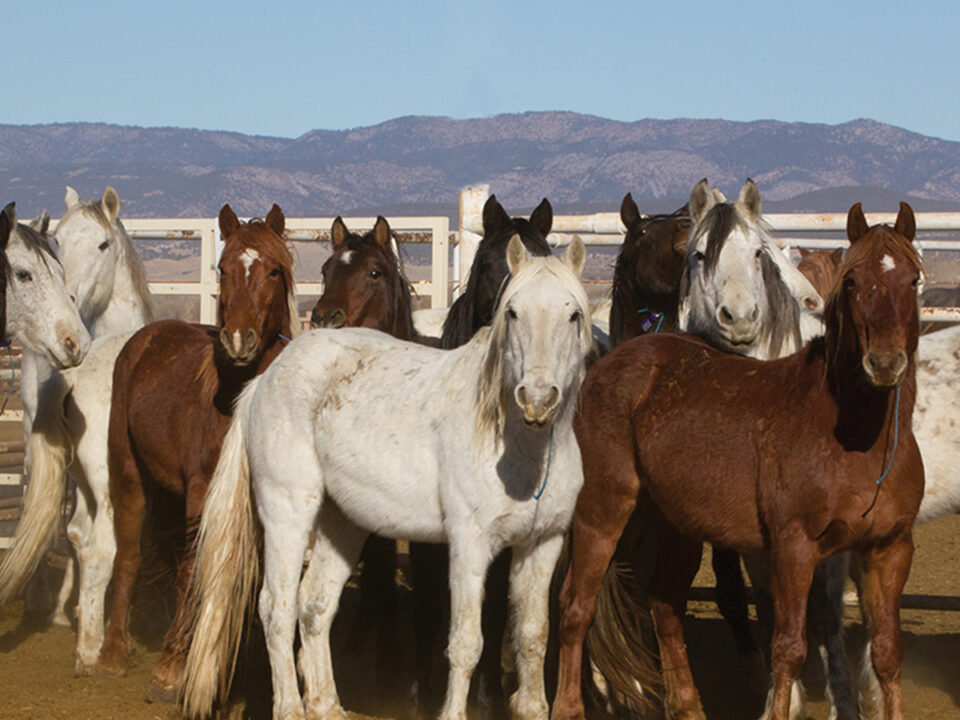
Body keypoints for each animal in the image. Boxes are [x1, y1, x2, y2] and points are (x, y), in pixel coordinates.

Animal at [92, 204, 300, 701]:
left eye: (273, 270)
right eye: (222, 269)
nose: (239, 340)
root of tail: (147, 338)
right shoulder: (202, 492)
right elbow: (196, 570)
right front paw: (171, 669)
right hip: (129, 474)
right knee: (129, 556)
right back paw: (112, 654)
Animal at [181, 236, 592, 720]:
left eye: (573, 314)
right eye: (512, 312)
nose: (537, 399)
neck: (521, 446)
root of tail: (264, 380)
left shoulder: (542, 543)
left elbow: (532, 636)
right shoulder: (470, 544)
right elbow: (466, 643)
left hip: (341, 523)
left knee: (314, 606)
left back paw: (327, 706)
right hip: (287, 513)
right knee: (276, 609)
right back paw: (291, 707)